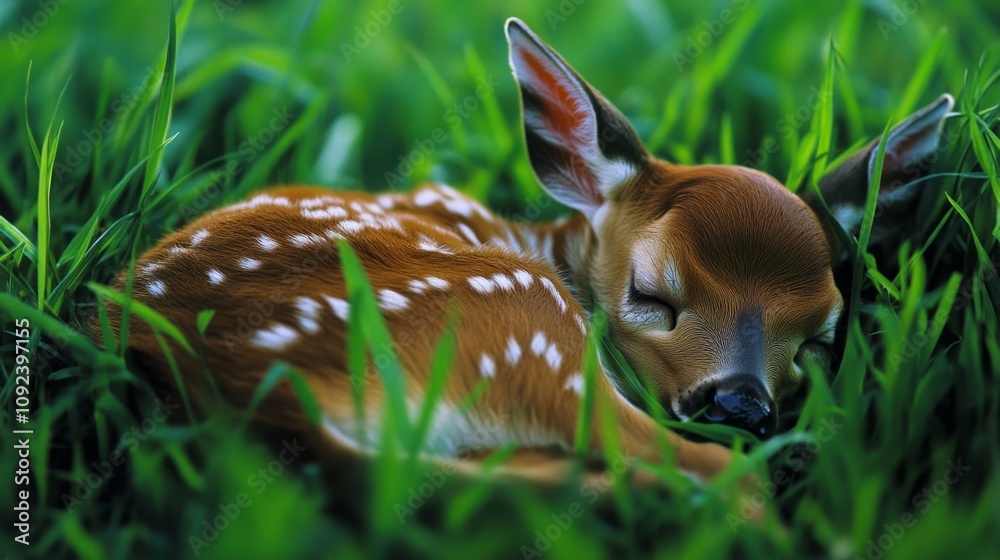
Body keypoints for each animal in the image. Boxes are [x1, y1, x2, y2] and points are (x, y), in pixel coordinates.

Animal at [94, 18, 953, 487]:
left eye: (822, 337)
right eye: (651, 294)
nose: (742, 405)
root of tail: (266, 392)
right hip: (530, 329)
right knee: (719, 480)